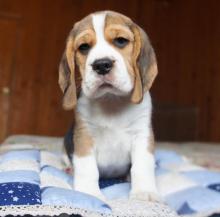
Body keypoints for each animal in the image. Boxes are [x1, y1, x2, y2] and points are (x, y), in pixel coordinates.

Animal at [59, 10, 159, 202]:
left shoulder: (142, 134)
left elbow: (142, 165)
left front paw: (143, 192)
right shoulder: (84, 135)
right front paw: (88, 193)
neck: (111, 100)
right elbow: (87, 168)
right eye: (84, 47)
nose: (101, 65)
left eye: (121, 41)